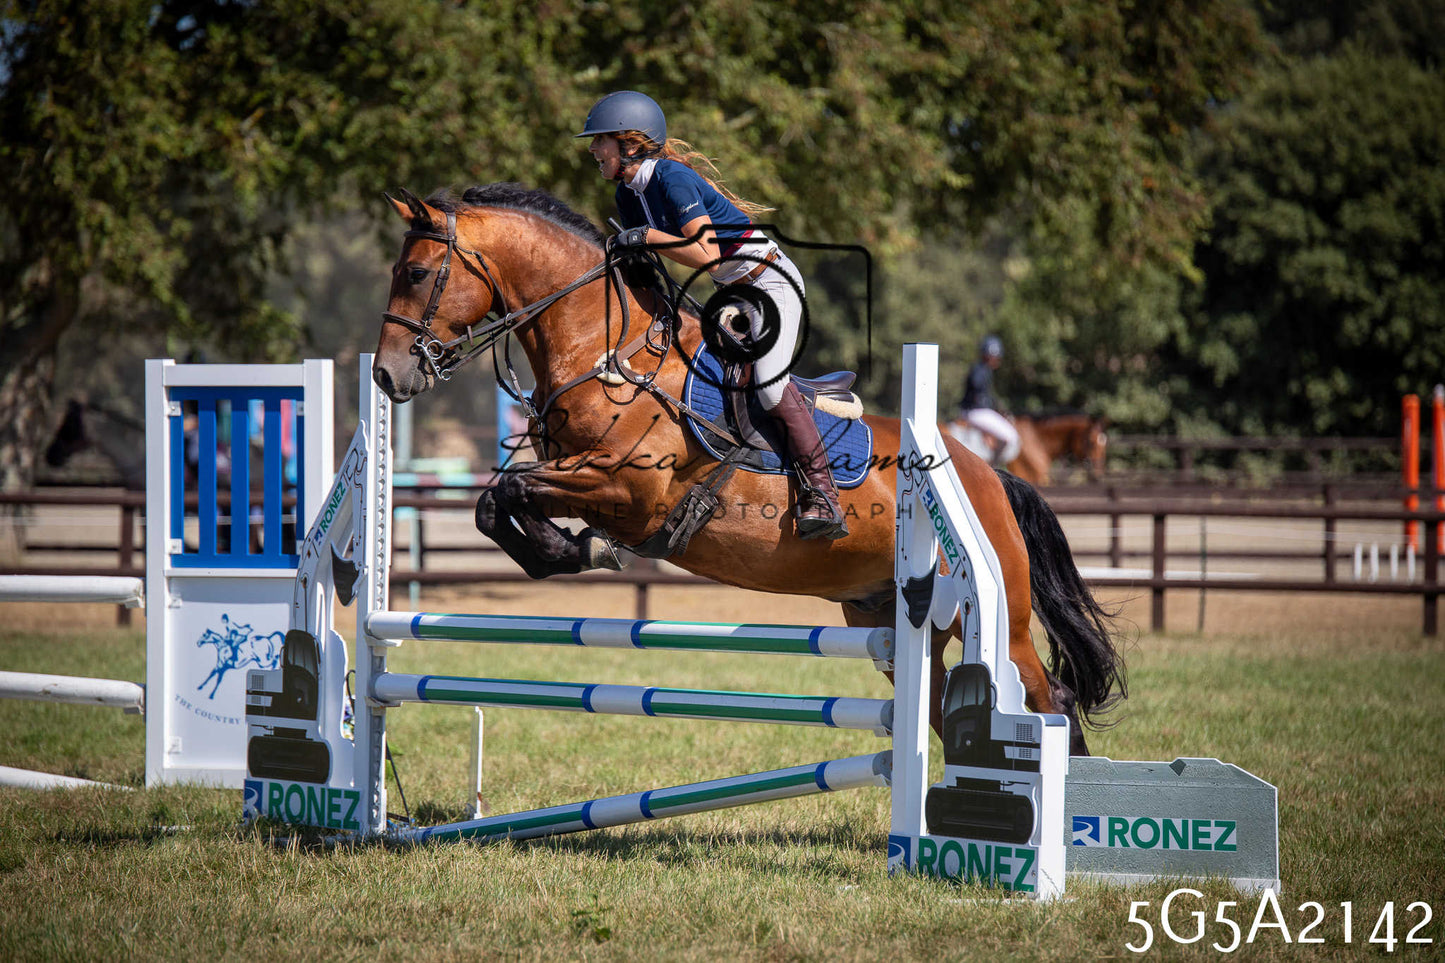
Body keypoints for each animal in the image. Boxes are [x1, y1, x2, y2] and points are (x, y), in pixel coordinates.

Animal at [371, 185, 1124, 754]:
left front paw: (581, 549)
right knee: (942, 710)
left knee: (1045, 695)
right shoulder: (579, 476)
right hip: (888, 618)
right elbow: (493, 502)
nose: (386, 375)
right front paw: (566, 552)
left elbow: (511, 490)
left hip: (1003, 618)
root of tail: (988, 476)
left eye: (415, 274)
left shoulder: (626, 489)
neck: (605, 348)